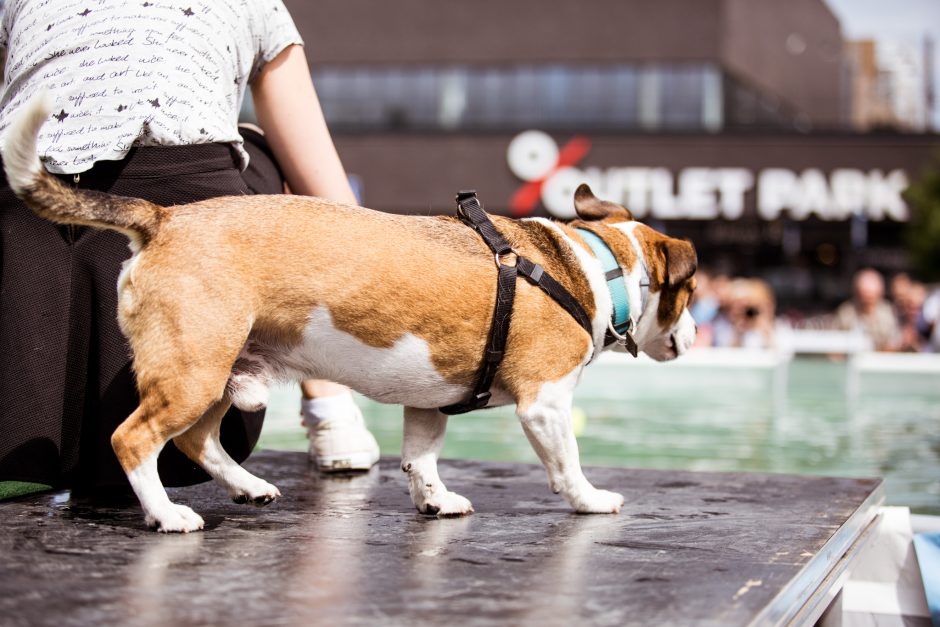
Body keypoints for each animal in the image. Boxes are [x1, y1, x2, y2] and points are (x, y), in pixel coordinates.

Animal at [1, 94, 696, 536]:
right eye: (690, 295)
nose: (691, 332)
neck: (595, 266)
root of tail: (163, 218)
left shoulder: (431, 401)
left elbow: (421, 458)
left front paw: (434, 501)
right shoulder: (546, 403)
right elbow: (566, 463)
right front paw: (590, 499)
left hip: (220, 371)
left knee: (198, 439)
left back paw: (247, 487)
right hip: (192, 369)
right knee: (134, 439)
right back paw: (166, 514)